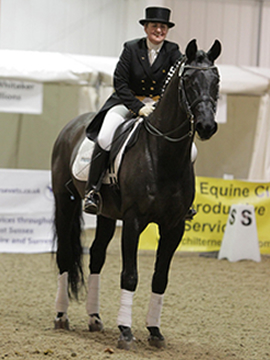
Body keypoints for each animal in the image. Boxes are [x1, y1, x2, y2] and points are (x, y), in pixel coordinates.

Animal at [51, 38, 221, 348]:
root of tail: (72, 126)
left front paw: (154, 331)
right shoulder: (133, 221)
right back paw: (61, 316)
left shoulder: (174, 226)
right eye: (189, 81)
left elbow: (160, 278)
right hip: (65, 202)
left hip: (105, 214)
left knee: (96, 257)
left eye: (216, 80)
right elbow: (130, 276)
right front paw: (125, 331)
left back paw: (94, 318)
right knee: (65, 256)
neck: (163, 155)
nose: (206, 126)